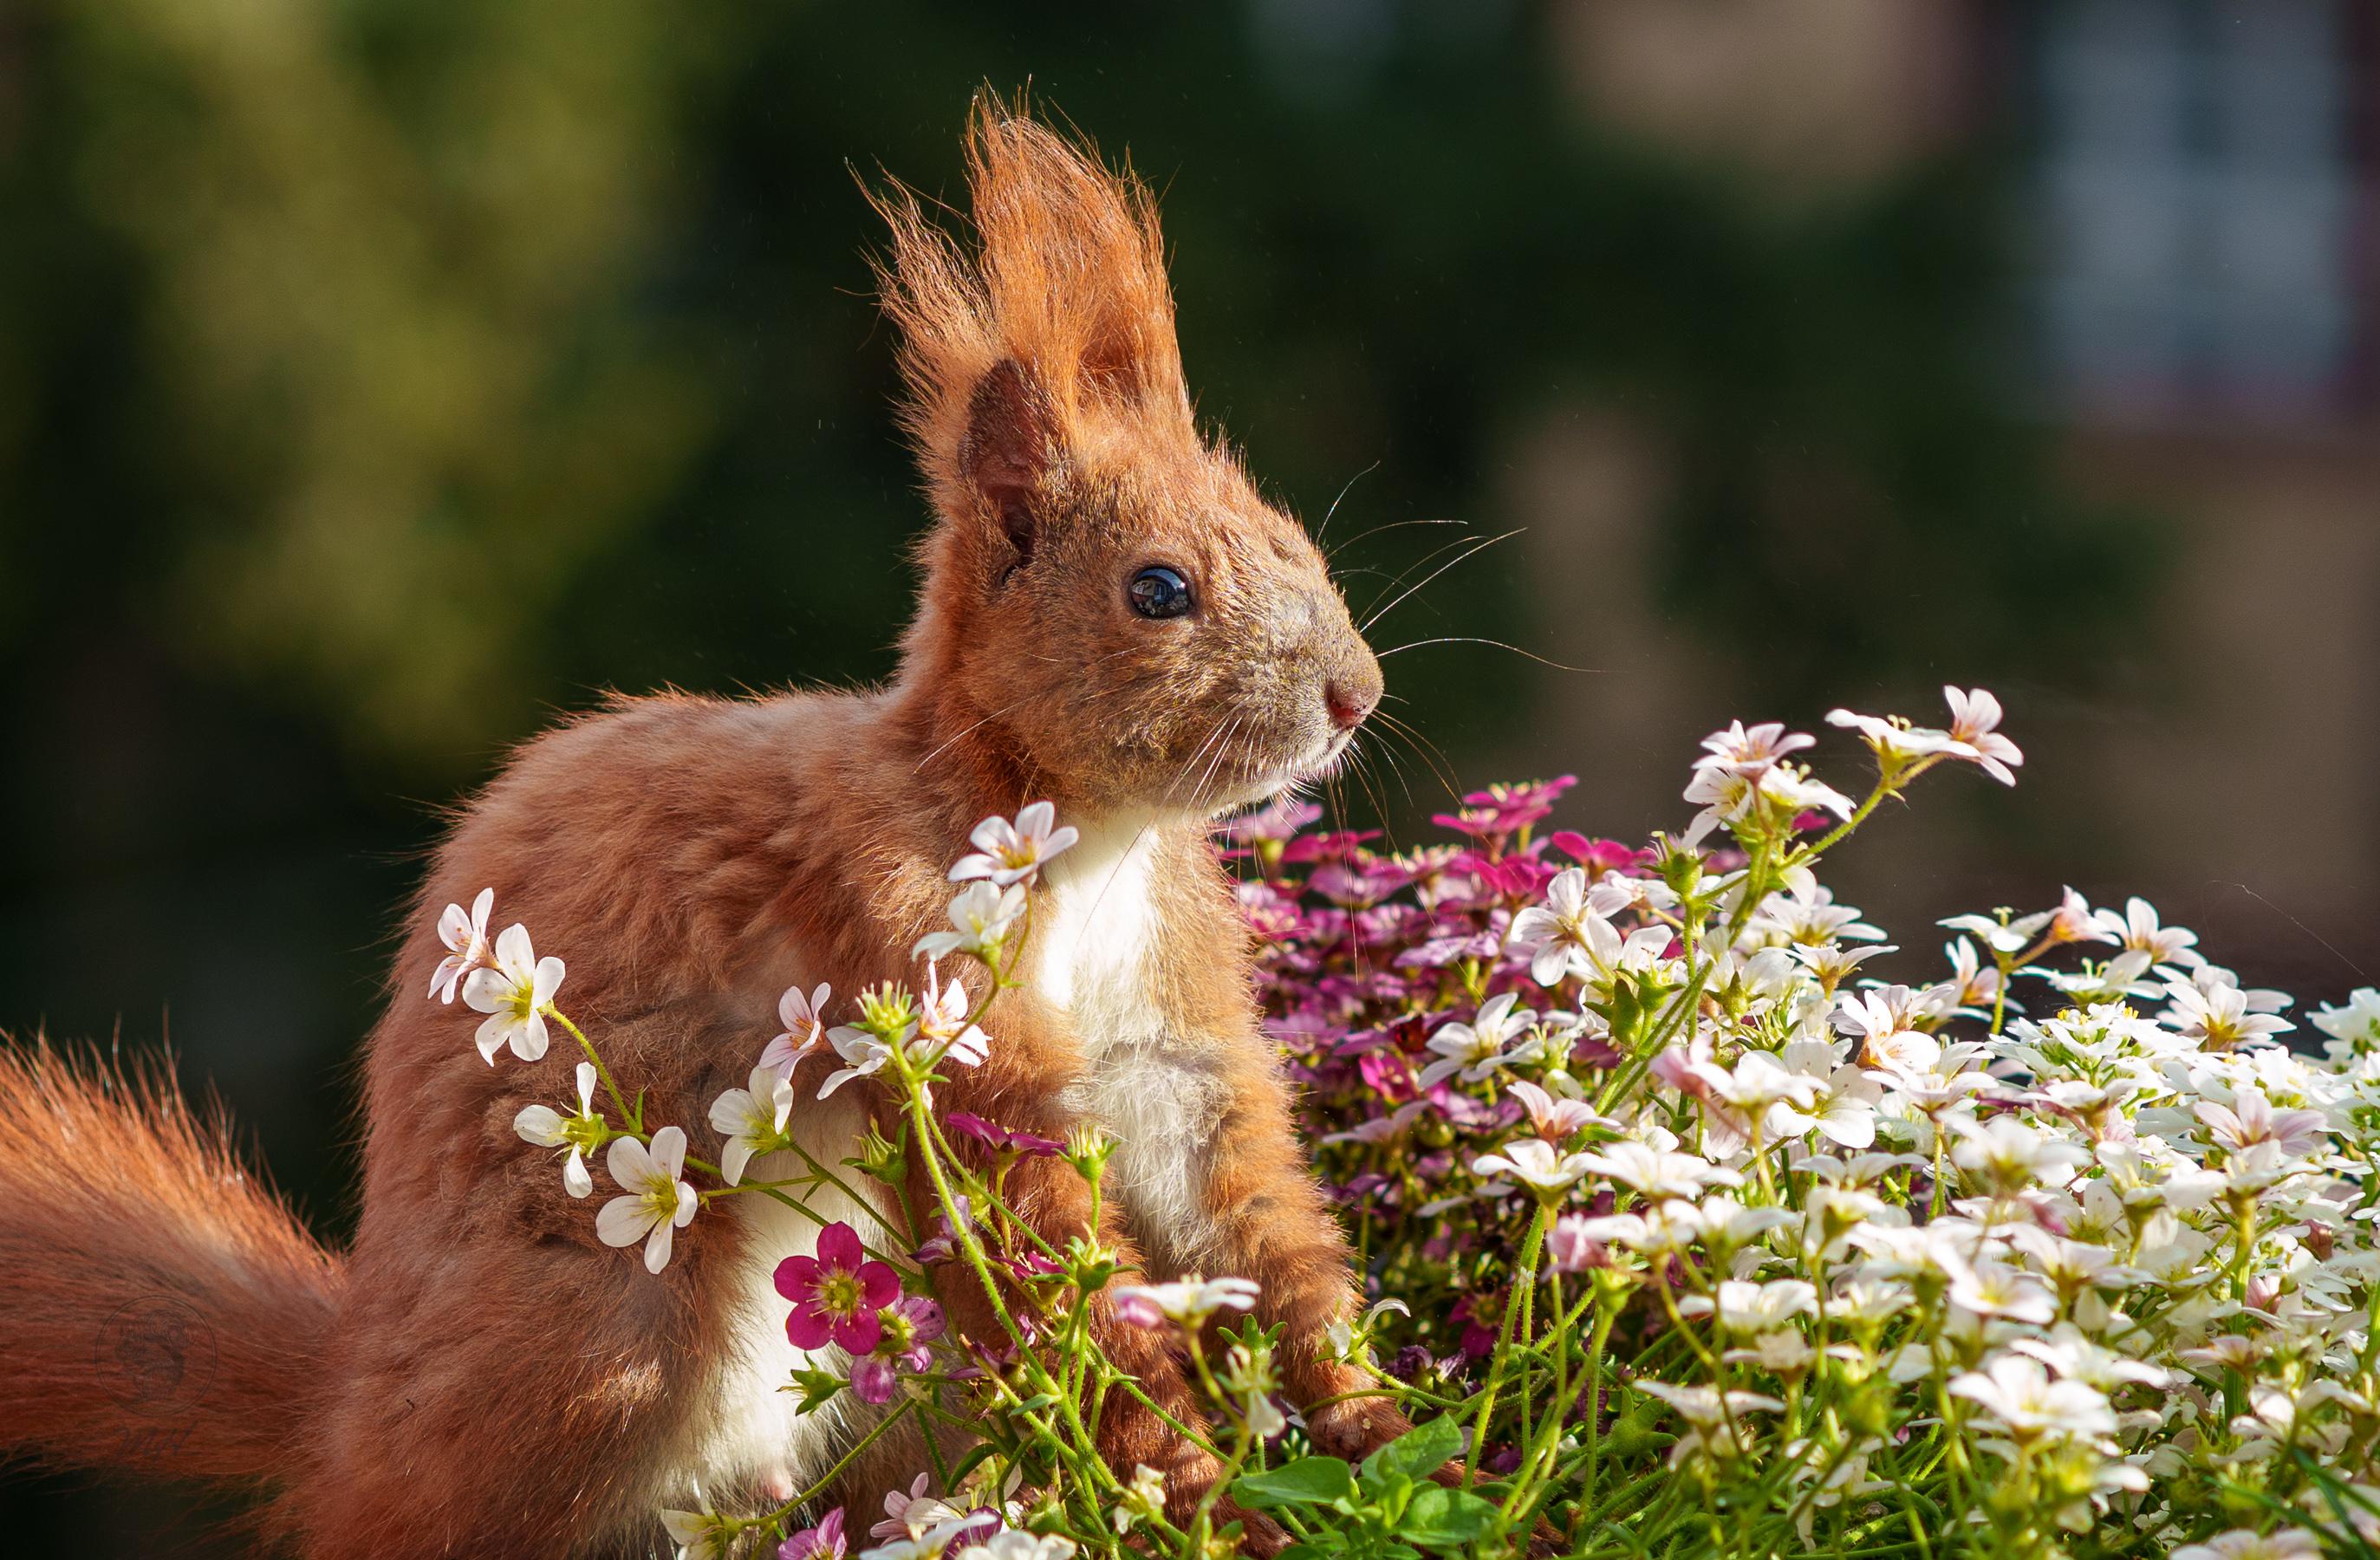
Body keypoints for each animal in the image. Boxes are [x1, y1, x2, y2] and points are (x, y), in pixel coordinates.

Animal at [0, 99, 1409, 1558]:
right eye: (1159, 590)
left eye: (1295, 541)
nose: (1355, 693)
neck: (1092, 847)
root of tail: (346, 1422)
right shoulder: (917, 981)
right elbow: (1041, 1269)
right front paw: (1192, 1496)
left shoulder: (1171, 1035)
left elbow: (1251, 1228)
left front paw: (1377, 1436)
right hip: (601, 1345)